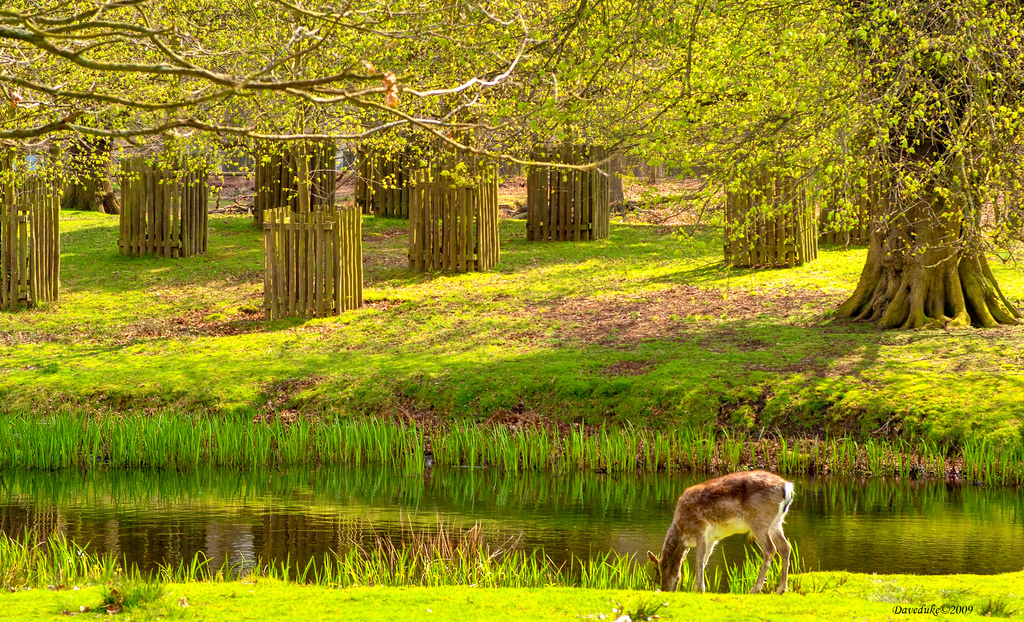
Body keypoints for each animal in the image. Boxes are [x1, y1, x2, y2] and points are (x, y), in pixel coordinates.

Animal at [647, 471, 790, 594]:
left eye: (657, 575)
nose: (664, 590)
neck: (681, 532)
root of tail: (787, 488)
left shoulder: (700, 530)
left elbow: (699, 560)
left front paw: (700, 589)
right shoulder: (712, 539)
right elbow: (705, 560)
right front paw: (695, 589)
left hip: (759, 520)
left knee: (770, 549)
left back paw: (755, 589)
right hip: (776, 523)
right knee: (785, 546)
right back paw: (781, 589)